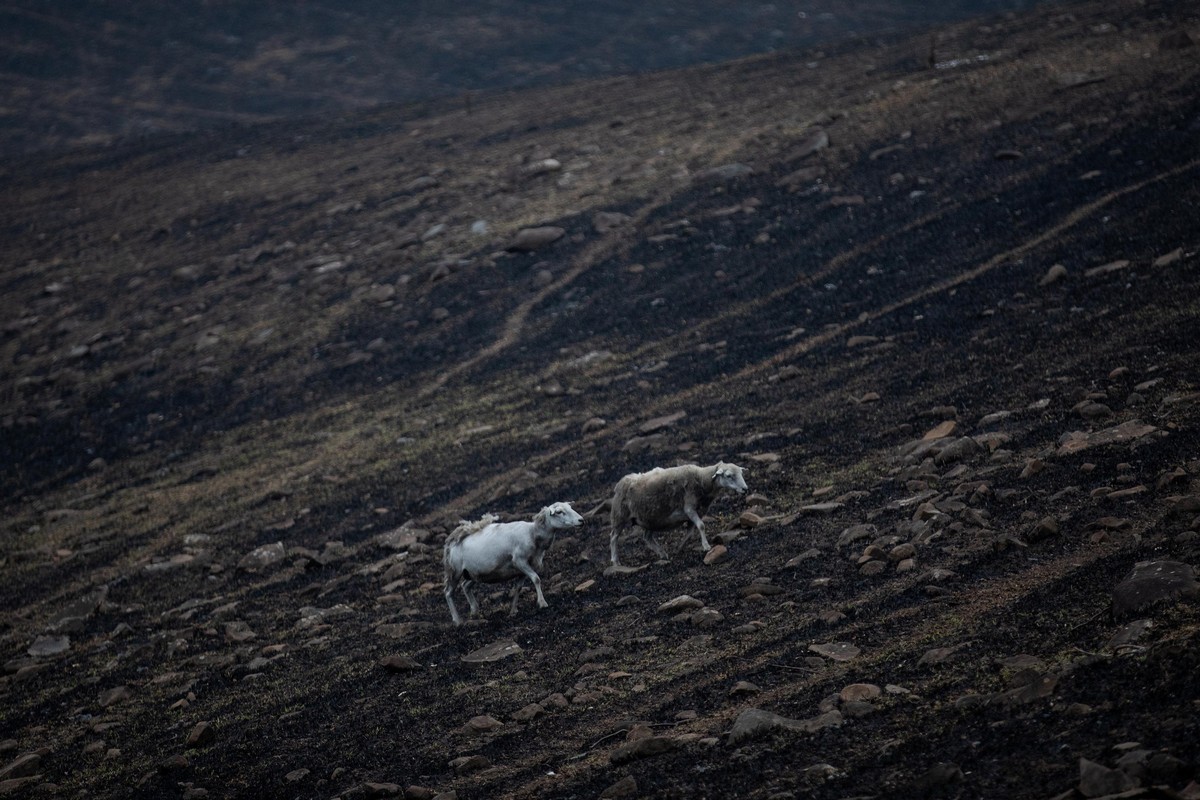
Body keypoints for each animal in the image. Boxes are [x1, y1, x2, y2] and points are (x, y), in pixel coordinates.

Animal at [446, 501, 585, 623]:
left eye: (570, 507)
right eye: (560, 512)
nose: (581, 520)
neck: (532, 534)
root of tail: (453, 541)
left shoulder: (522, 569)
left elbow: (518, 588)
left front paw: (513, 610)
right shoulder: (519, 561)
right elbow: (536, 579)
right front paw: (542, 603)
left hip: (474, 573)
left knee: (465, 586)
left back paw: (474, 611)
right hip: (455, 572)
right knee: (448, 593)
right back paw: (457, 620)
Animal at [614, 460, 744, 566]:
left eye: (741, 474)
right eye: (728, 475)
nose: (745, 489)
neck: (701, 479)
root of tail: (622, 481)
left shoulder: (696, 512)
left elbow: (691, 532)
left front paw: (679, 547)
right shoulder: (689, 508)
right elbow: (701, 525)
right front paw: (706, 546)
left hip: (650, 520)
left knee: (647, 537)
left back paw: (662, 554)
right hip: (619, 516)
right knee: (613, 537)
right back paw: (615, 561)